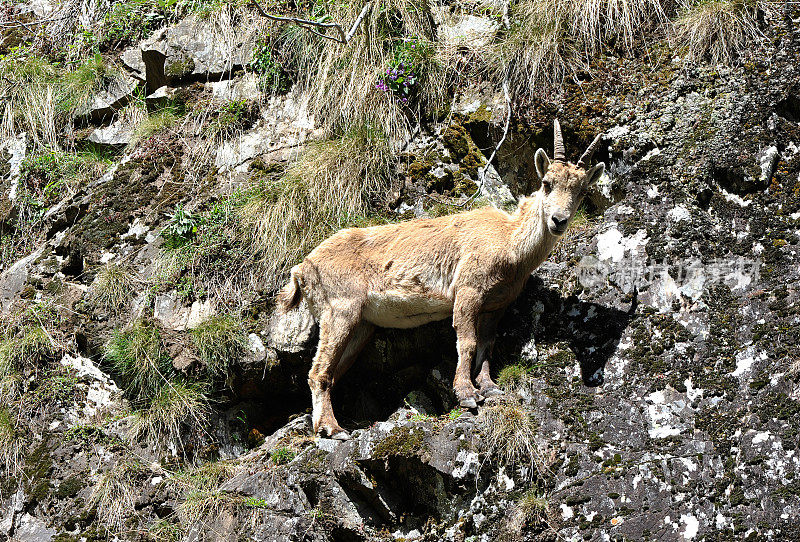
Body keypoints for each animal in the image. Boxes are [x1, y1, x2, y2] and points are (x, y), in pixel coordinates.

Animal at [278, 120, 604, 442]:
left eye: (581, 191)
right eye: (547, 183)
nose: (559, 220)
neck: (509, 244)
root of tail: (303, 268)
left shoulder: (496, 305)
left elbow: (487, 344)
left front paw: (489, 387)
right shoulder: (469, 290)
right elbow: (467, 341)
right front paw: (467, 393)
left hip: (361, 325)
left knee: (332, 371)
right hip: (340, 309)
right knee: (318, 371)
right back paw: (332, 429)